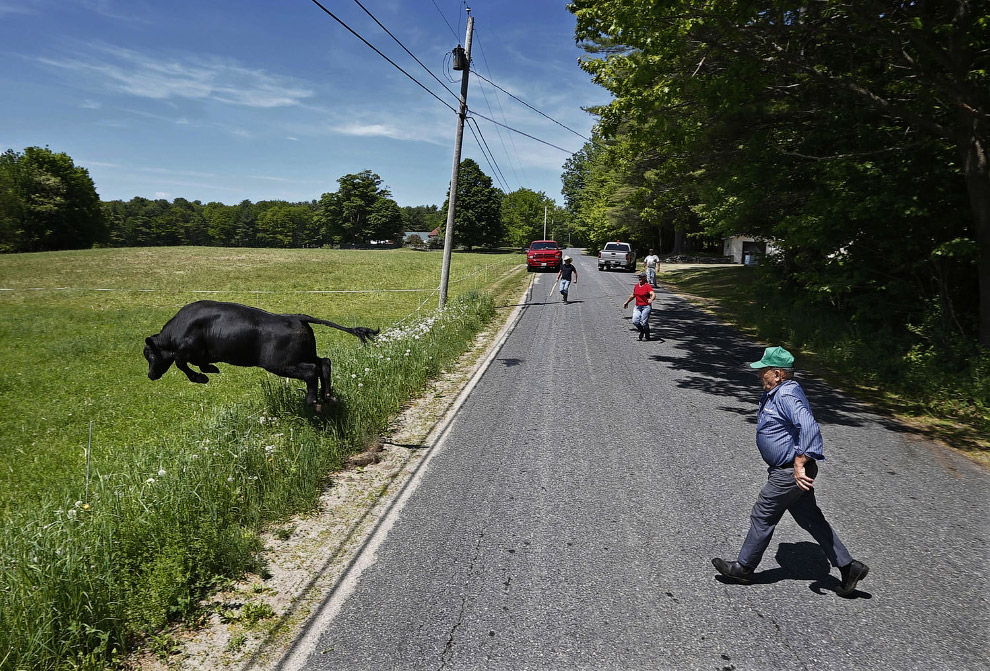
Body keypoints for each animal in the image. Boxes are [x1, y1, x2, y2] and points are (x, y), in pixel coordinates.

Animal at [144, 300, 380, 410]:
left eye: (150, 356)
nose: (150, 375)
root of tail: (296, 317)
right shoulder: (200, 354)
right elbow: (199, 363)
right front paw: (211, 368)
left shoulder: (186, 350)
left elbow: (180, 363)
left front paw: (201, 377)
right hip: (304, 355)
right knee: (324, 363)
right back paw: (328, 396)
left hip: (281, 364)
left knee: (312, 371)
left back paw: (313, 400)